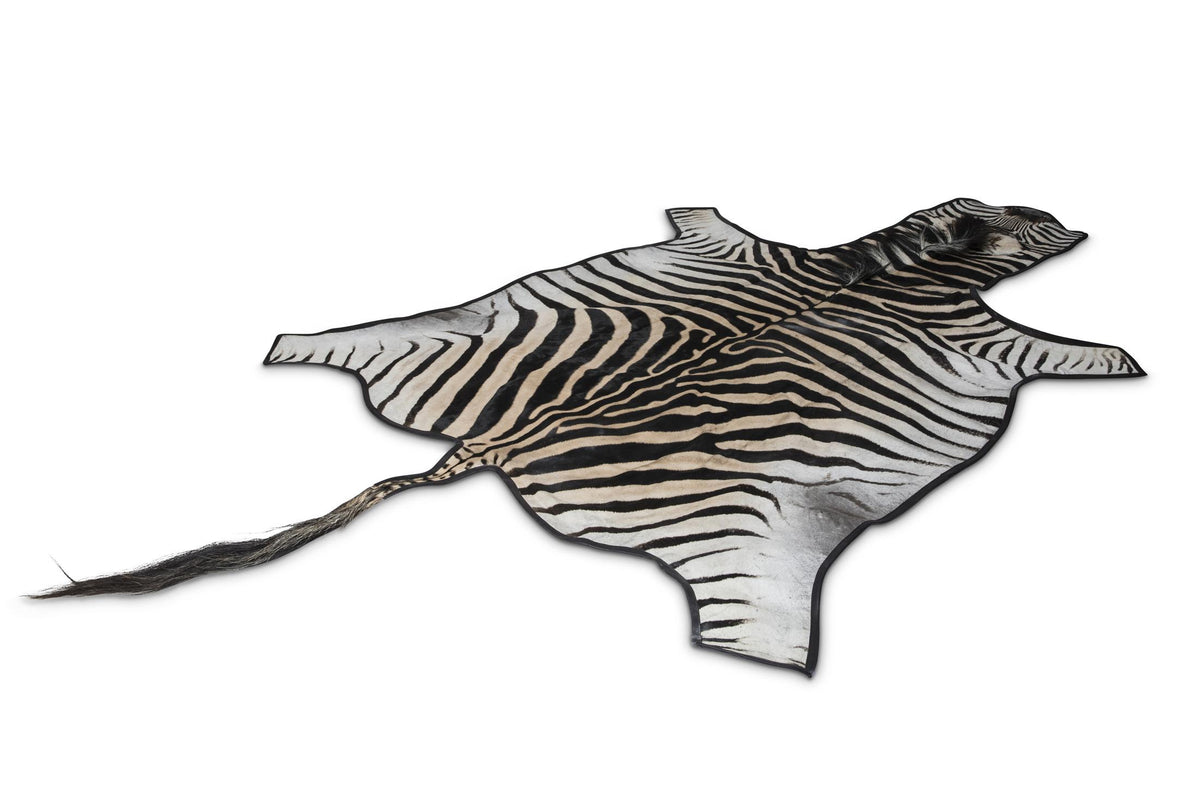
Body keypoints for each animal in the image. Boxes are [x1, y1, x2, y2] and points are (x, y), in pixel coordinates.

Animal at [34, 199, 1143, 674]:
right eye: (1035, 218)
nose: (1073, 215)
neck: (889, 269)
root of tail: (497, 446)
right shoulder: (991, 343)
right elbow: (1079, 353)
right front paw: (1127, 358)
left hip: (458, 336)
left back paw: (294, 342)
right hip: (753, 533)